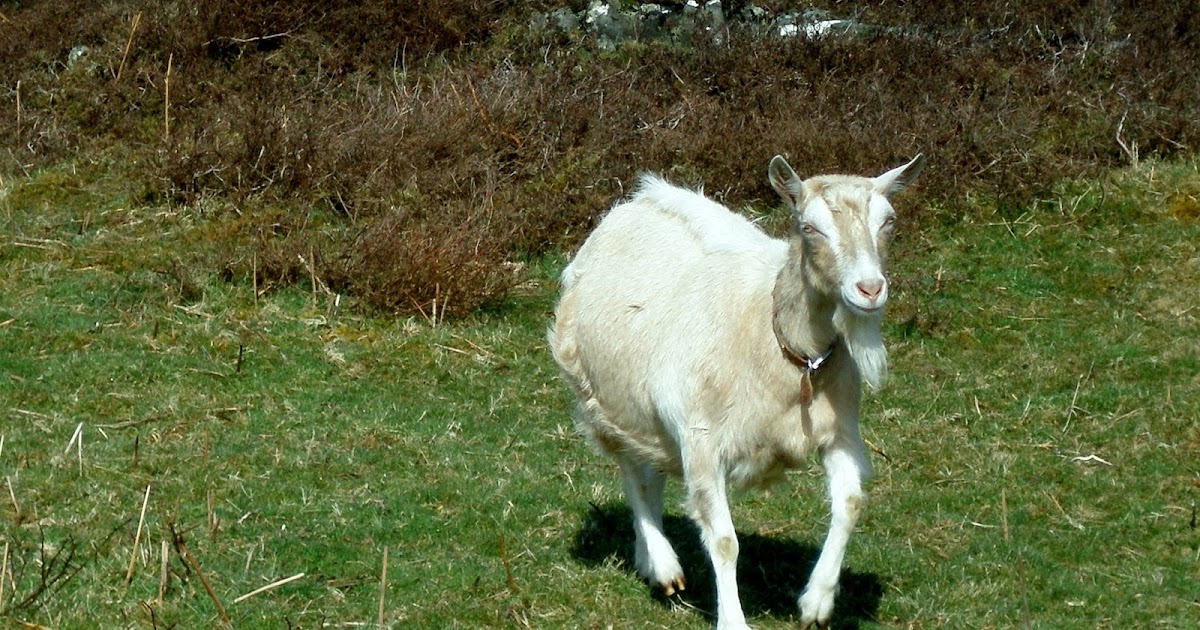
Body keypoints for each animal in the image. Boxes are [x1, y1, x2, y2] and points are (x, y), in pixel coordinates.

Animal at [549, 153, 925, 629]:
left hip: (651, 421)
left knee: (650, 476)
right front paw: (733, 620)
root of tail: (639, 200)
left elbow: (851, 502)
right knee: (632, 476)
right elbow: (725, 542)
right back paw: (664, 564)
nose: (870, 289)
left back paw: (650, 563)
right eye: (809, 227)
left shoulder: (840, 432)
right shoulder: (701, 441)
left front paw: (817, 602)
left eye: (888, 221)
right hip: (602, 399)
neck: (779, 340)